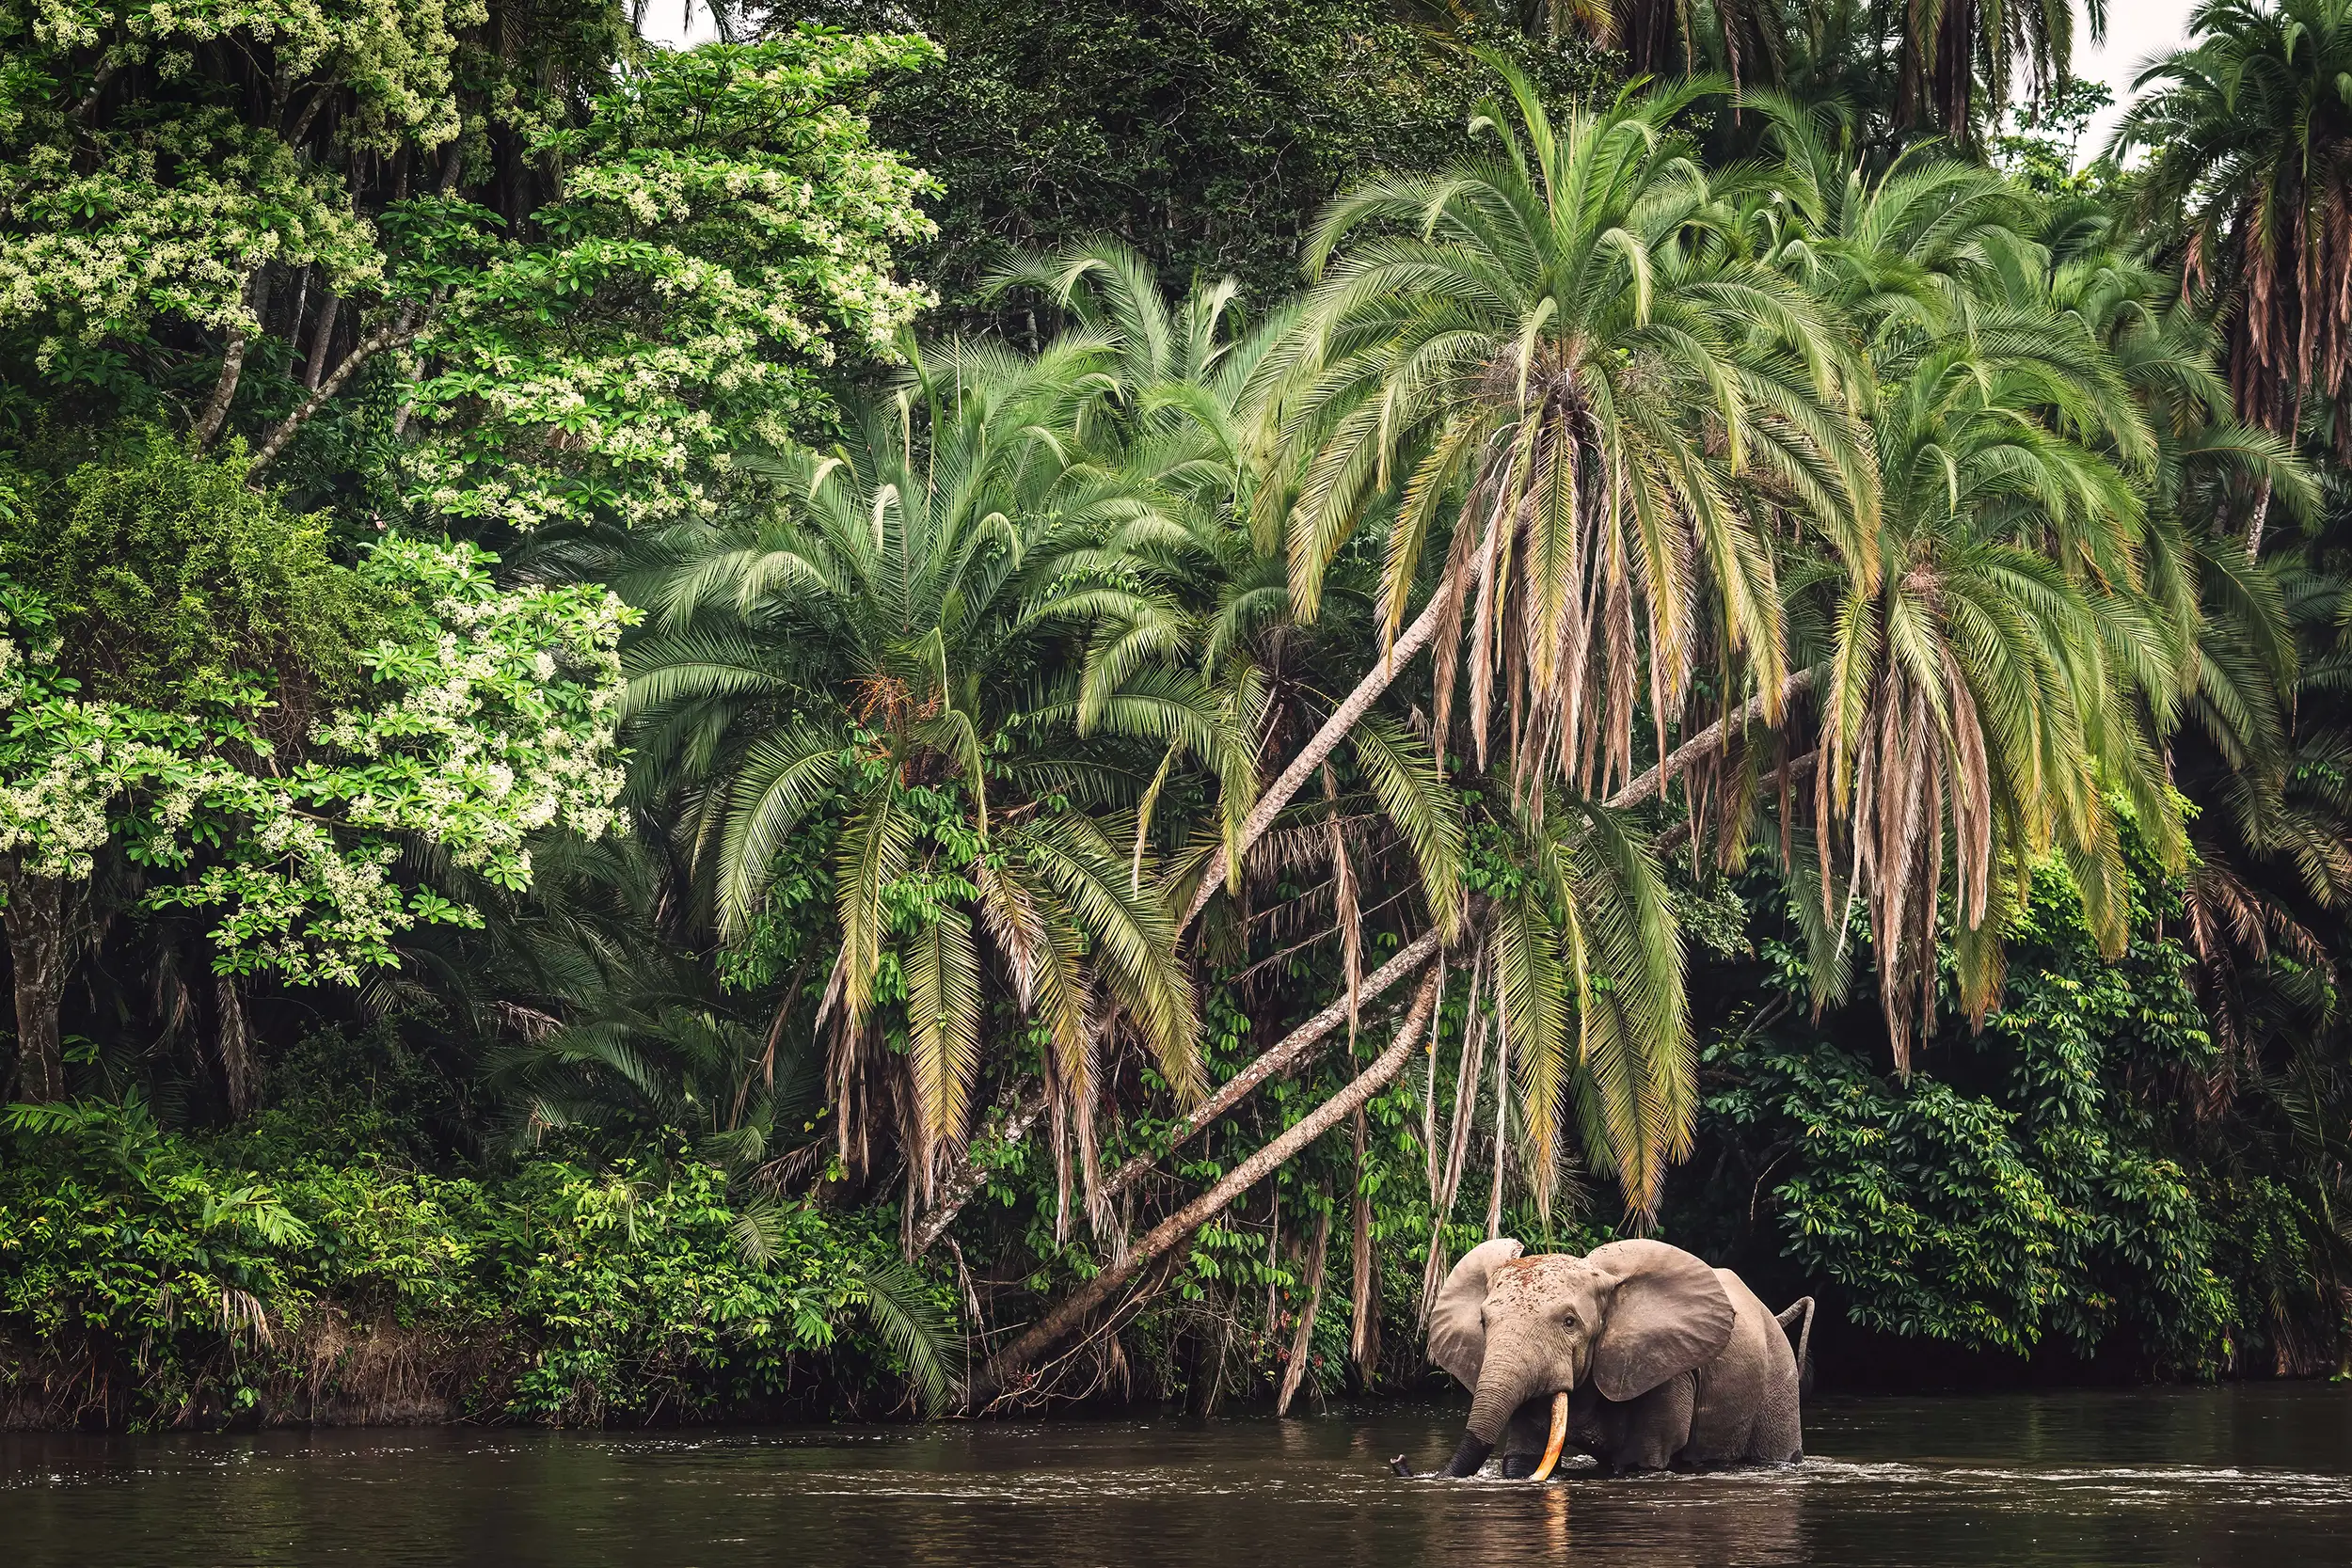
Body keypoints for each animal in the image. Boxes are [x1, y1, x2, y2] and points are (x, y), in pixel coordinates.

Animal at [1396, 1237, 1814, 1480]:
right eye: (1483, 1322)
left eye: (1569, 1323)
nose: (1399, 1463)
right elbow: (1522, 1457)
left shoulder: (1666, 1369)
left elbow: (1643, 1460)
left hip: (1777, 1380)